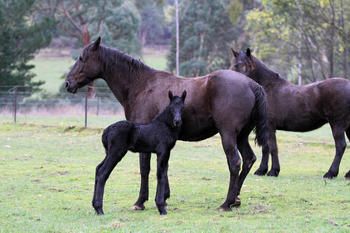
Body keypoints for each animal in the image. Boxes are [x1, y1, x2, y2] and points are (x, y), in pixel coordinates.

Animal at [66, 37, 268, 211]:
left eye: (82, 58)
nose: (68, 83)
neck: (141, 85)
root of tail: (252, 84)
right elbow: (163, 168)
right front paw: (165, 196)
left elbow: (145, 168)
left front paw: (140, 202)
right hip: (241, 136)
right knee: (249, 159)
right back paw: (236, 200)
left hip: (228, 135)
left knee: (235, 162)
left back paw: (226, 203)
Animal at [231, 47, 350, 178]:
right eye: (233, 64)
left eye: (240, 64)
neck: (267, 88)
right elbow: (266, 148)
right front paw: (262, 170)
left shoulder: (270, 127)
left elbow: (272, 148)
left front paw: (273, 171)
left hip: (337, 124)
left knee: (340, 146)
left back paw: (330, 173)